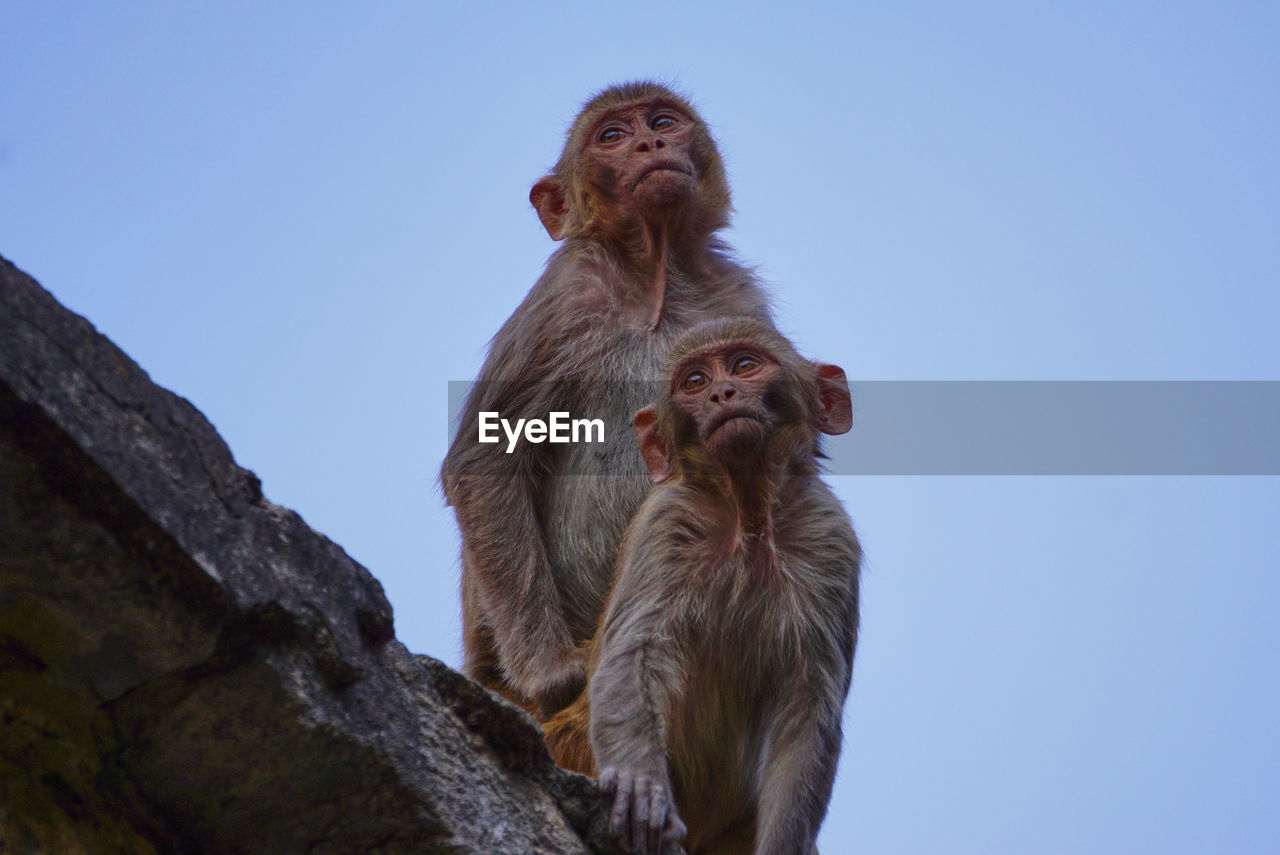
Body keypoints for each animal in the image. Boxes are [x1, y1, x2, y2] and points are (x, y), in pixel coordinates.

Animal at [440, 83, 773, 716]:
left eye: (663, 121)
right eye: (612, 136)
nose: (649, 143)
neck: (660, 281)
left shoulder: (739, 300)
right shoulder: (567, 297)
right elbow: (486, 457)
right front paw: (550, 672)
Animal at [540, 318, 860, 855]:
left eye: (745, 366)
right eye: (694, 381)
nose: (721, 393)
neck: (748, 514)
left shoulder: (831, 537)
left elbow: (809, 699)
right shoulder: (666, 520)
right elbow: (635, 655)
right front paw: (641, 787)